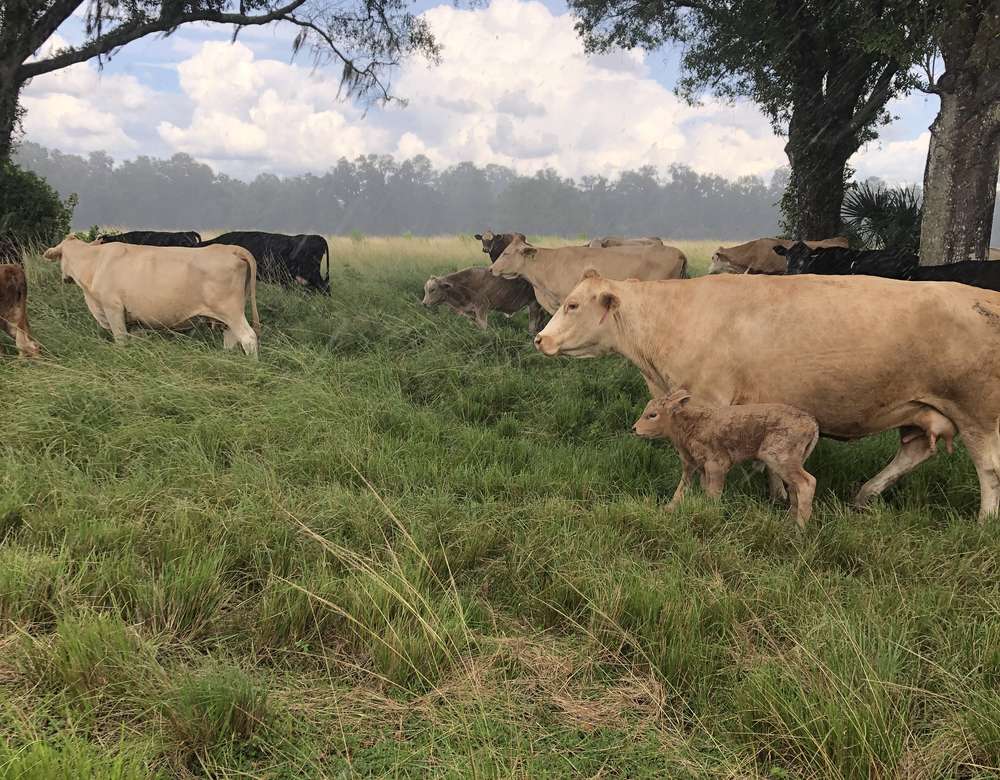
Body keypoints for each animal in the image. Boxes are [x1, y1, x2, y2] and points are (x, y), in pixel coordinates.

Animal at [43, 236, 260, 356]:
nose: (65, 279)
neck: (95, 262)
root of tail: (230, 248)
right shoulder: (135, 321)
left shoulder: (113, 308)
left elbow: (121, 340)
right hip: (225, 317)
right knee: (231, 339)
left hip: (231, 311)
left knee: (248, 337)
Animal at [632, 389, 820, 527]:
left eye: (652, 415)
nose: (634, 429)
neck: (690, 427)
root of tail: (813, 425)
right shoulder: (693, 465)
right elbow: (683, 488)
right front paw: (669, 509)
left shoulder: (716, 464)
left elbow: (713, 493)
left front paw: (709, 515)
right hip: (792, 461)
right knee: (794, 489)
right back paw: (790, 523)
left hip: (781, 457)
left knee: (807, 482)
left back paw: (800, 528)